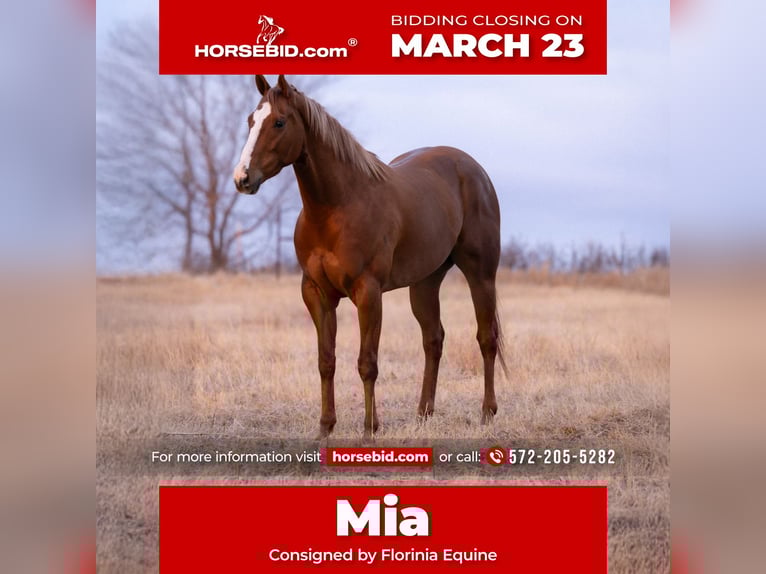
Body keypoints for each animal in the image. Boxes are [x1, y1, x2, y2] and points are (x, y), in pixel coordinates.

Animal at [233, 75, 507, 439]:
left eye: (279, 122)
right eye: (251, 120)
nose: (242, 178)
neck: (337, 207)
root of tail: (474, 169)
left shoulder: (368, 292)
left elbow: (367, 363)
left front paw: (369, 428)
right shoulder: (316, 294)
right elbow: (326, 361)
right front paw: (325, 427)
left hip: (481, 274)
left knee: (486, 338)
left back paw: (487, 413)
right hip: (425, 282)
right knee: (433, 340)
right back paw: (423, 414)